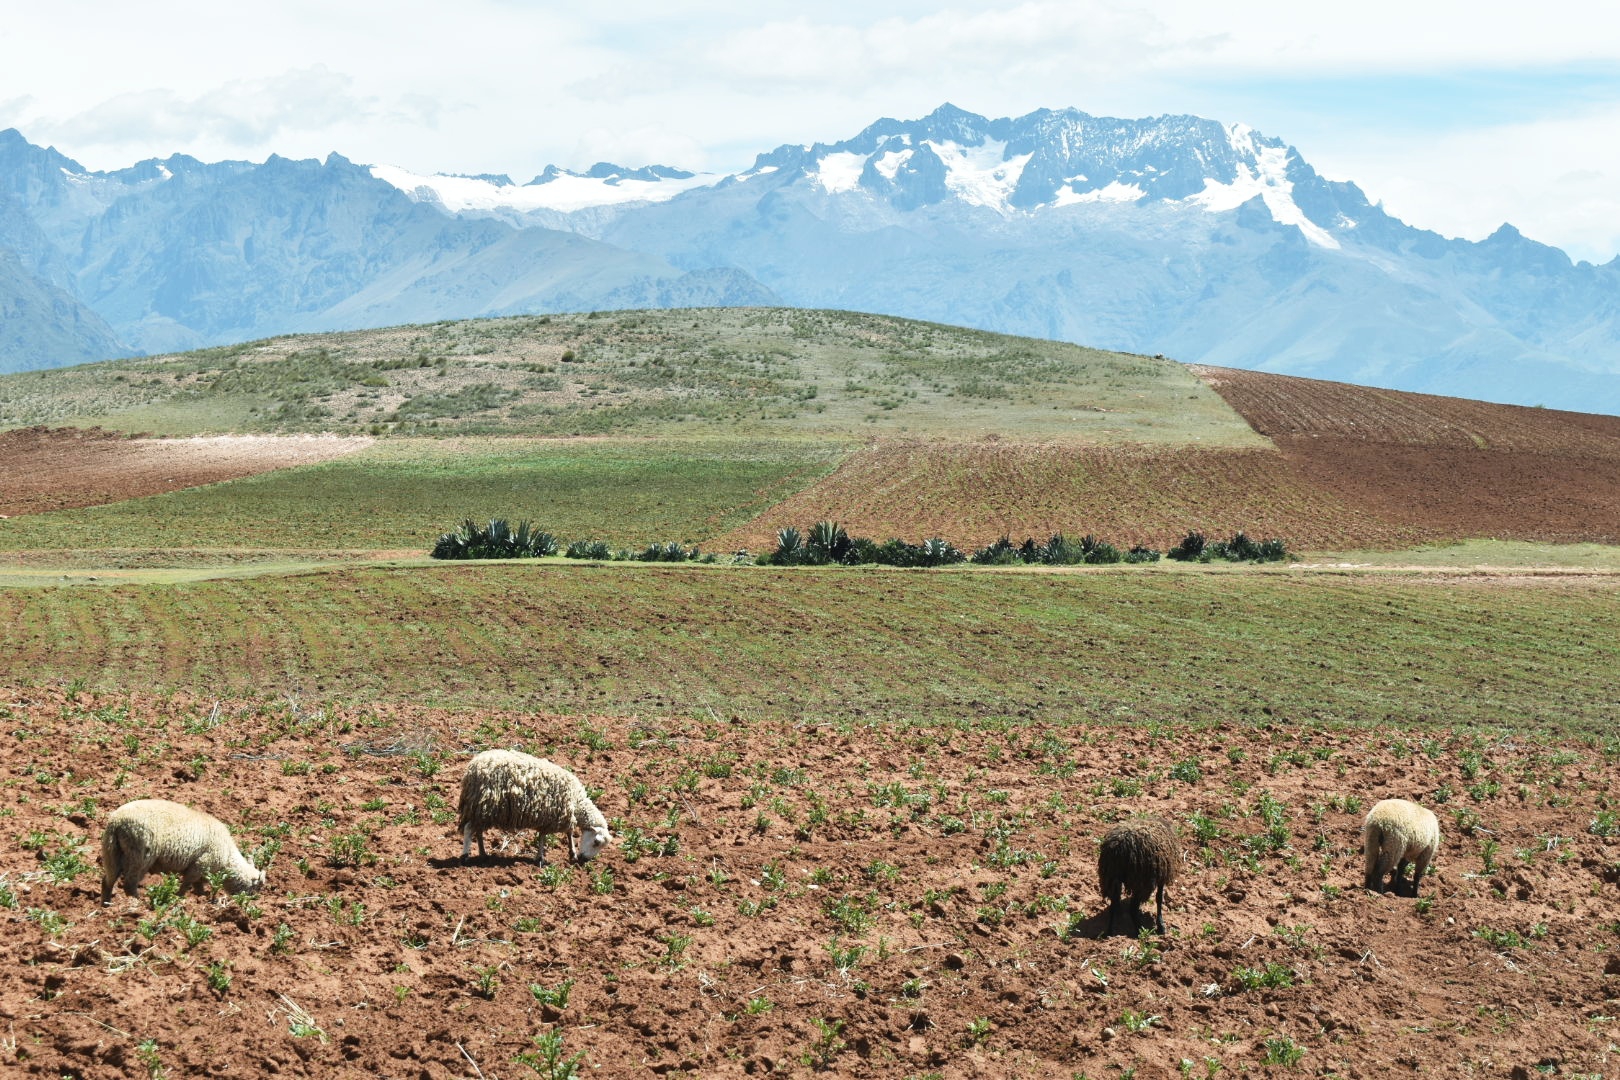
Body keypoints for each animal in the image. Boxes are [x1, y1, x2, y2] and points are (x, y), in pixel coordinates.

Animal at [99, 803, 265, 906]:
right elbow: (186, 885)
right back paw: (139, 902)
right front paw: (179, 899)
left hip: (112, 851)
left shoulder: (202, 871)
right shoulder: (200, 865)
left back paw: (106, 906)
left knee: (107, 880)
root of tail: (117, 821)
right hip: (141, 854)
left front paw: (204, 898)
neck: (228, 858)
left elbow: (198, 887)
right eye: (255, 887)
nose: (248, 902)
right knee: (129, 882)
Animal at [460, 748, 609, 867]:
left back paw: (483, 854)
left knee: (477, 831)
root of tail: (473, 766)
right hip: (485, 807)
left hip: (481, 810)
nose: (585, 860)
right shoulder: (555, 816)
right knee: (468, 829)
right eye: (596, 842)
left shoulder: (553, 817)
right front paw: (541, 858)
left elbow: (565, 832)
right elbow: (548, 835)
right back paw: (465, 856)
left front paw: (571, 853)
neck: (576, 800)